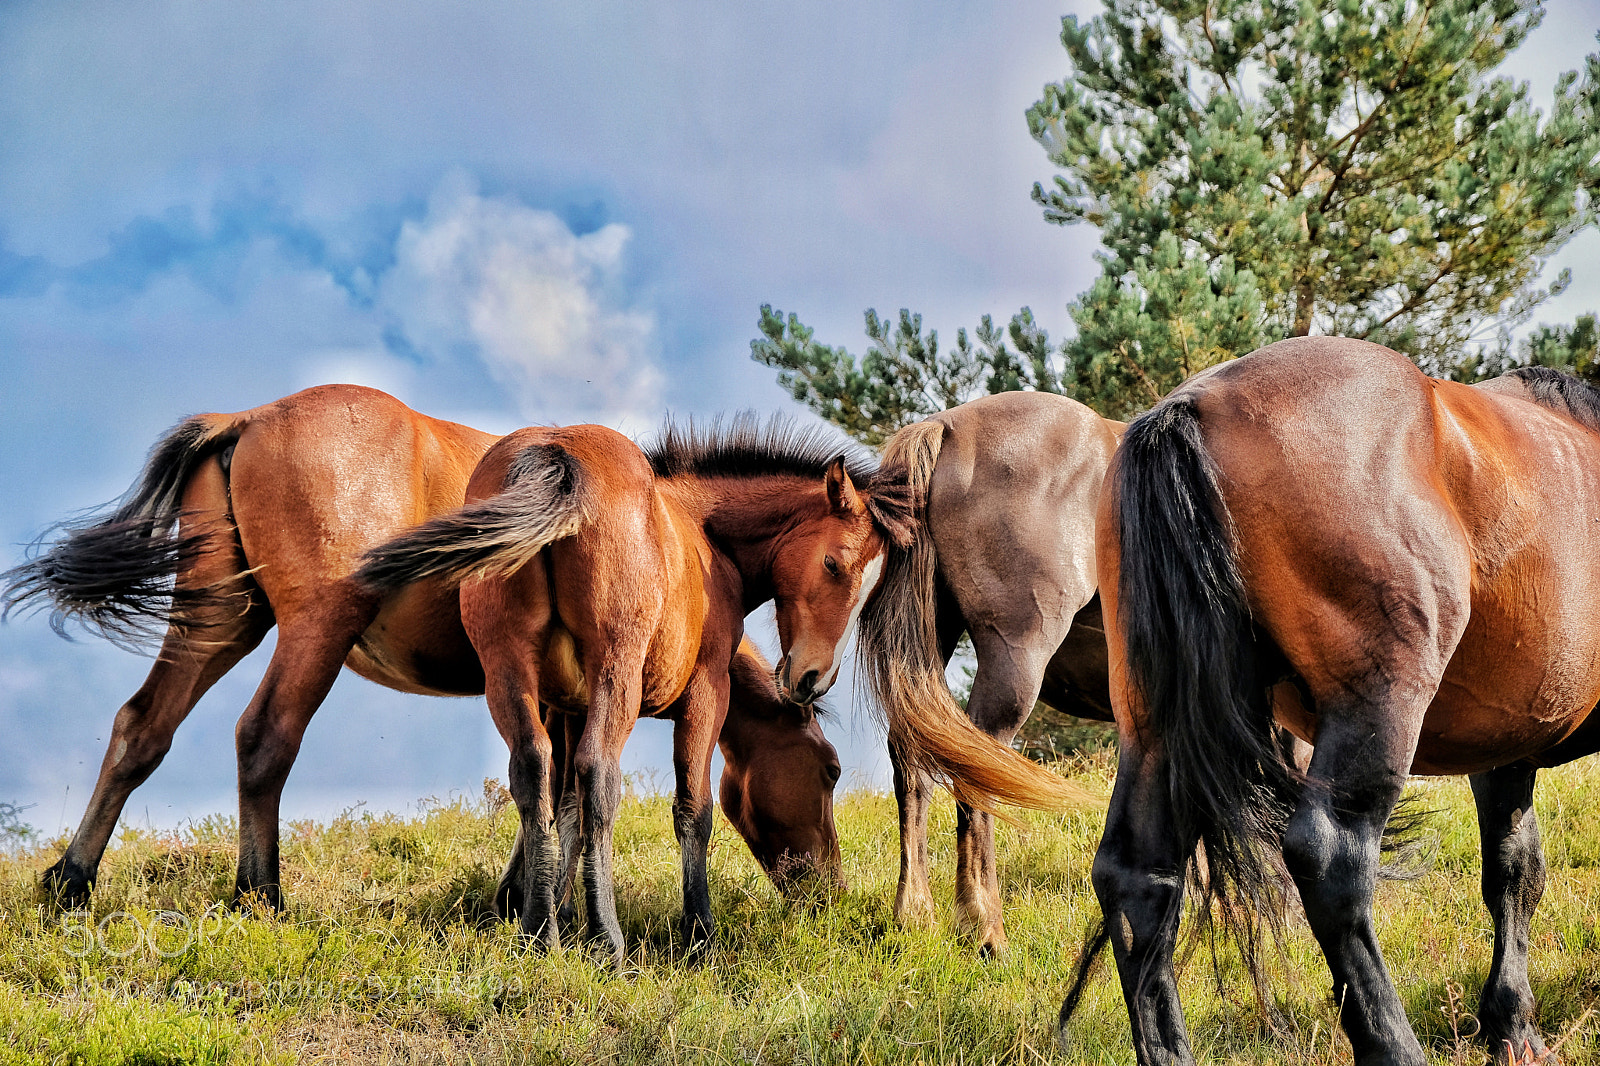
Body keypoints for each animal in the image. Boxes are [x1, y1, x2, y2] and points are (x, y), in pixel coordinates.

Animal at [1, 385, 846, 917]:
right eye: (831, 771)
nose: (829, 890)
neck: (680, 530)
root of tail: (248, 418)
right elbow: (571, 794)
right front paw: (536, 905)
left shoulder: (556, 695)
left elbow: (553, 792)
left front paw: (525, 900)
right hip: (314, 626)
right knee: (265, 740)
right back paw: (259, 896)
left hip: (219, 620)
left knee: (142, 726)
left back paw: (72, 880)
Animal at [353, 415, 917, 964]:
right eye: (831, 770)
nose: (814, 676)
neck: (704, 536)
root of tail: (559, 454)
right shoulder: (705, 693)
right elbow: (691, 809)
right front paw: (699, 935)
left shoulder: (568, 705)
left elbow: (566, 809)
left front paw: (551, 908)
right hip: (615, 670)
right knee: (600, 774)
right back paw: (607, 940)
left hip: (506, 663)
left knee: (532, 771)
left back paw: (538, 932)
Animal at [853, 390, 1123, 957]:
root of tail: (944, 427)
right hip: (1014, 663)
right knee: (979, 767)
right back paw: (985, 928)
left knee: (914, 763)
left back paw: (916, 914)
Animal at [1075, 336, 1600, 1064]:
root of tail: (1185, 409)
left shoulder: (1505, 749)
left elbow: (1515, 873)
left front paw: (1512, 1025)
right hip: (1376, 708)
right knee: (1331, 860)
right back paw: (1394, 1045)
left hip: (1152, 728)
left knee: (1136, 877)